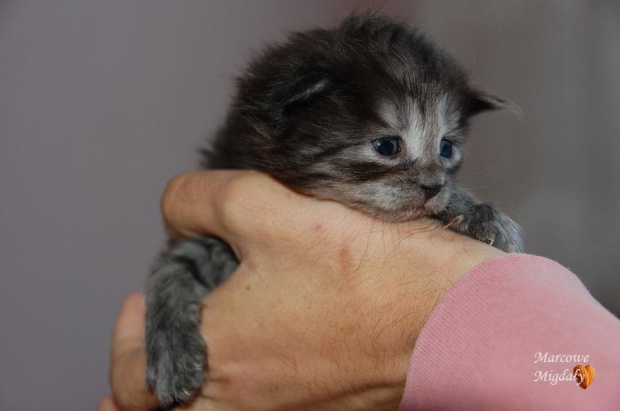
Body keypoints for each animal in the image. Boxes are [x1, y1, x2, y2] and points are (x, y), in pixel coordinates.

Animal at [145, 13, 524, 408]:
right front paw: (170, 350)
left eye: (446, 148)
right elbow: (172, 268)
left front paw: (474, 211)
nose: (434, 186)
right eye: (386, 146)